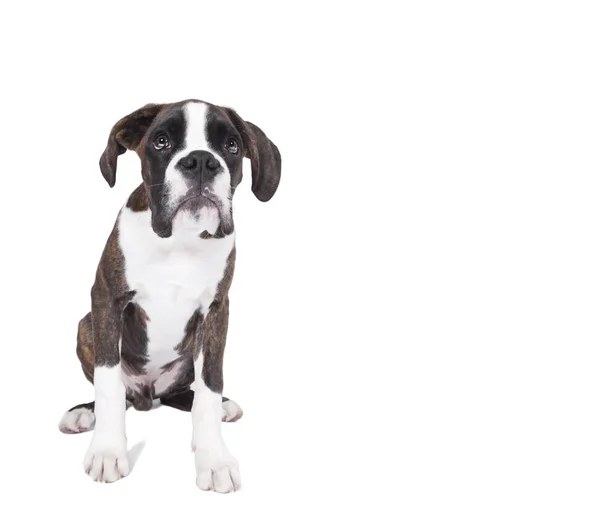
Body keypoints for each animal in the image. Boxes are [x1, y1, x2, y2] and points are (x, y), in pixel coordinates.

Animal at [58, 101, 282, 492]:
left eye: (232, 146)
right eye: (161, 141)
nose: (201, 161)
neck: (180, 240)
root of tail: (147, 396)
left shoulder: (216, 313)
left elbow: (209, 387)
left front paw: (214, 459)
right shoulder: (106, 301)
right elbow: (107, 383)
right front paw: (106, 452)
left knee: (185, 394)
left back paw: (223, 407)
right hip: (85, 325)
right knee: (119, 392)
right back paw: (83, 414)